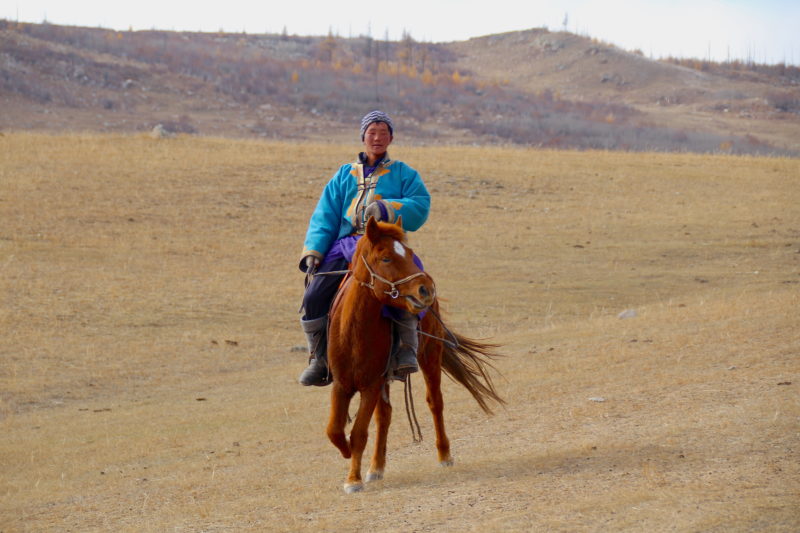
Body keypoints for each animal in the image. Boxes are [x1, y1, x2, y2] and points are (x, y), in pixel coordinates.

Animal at [324, 216, 500, 494]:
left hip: (430, 355)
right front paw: (347, 456)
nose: (426, 289)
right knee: (384, 416)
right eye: (386, 258)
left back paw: (444, 455)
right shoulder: (342, 384)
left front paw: (353, 479)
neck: (353, 331)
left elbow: (359, 432)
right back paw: (376, 467)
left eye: (409, 253)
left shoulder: (371, 384)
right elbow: (334, 430)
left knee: (434, 402)